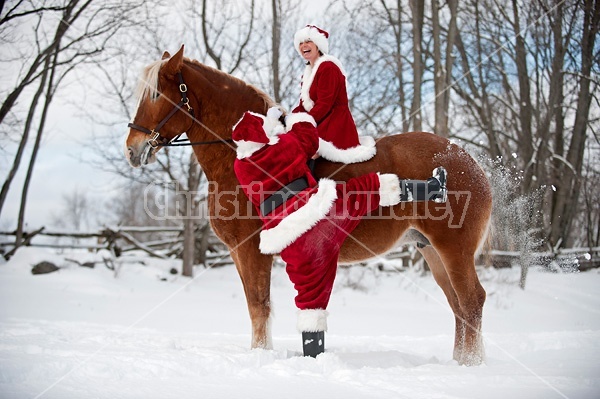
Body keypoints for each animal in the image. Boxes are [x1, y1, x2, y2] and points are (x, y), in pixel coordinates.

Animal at [124, 46, 490, 366]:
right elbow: (255, 305)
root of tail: (467, 160)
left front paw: (260, 354)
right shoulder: (240, 252)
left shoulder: (251, 251)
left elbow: (258, 305)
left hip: (453, 249)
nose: (132, 148)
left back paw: (470, 364)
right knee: (458, 306)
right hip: (431, 250)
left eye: (156, 95)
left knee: (471, 301)